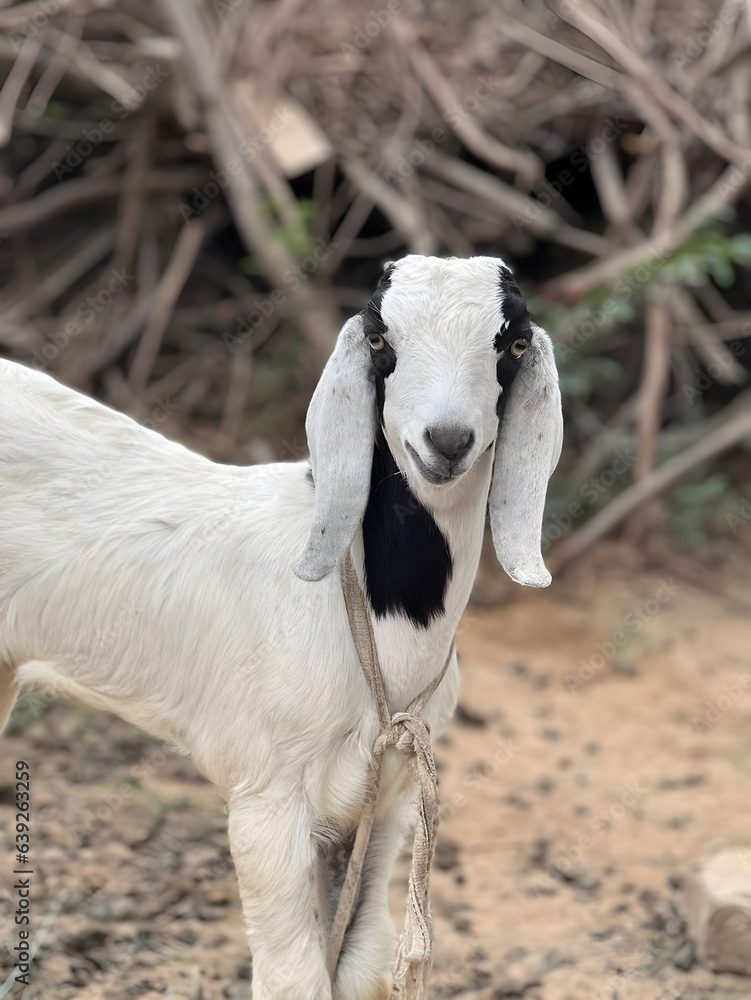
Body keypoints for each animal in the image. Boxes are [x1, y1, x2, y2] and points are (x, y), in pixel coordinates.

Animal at [0, 254, 562, 1000]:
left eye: (513, 344)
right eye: (380, 340)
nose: (446, 443)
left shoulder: (382, 804)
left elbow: (357, 966)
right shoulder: (265, 801)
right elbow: (294, 976)